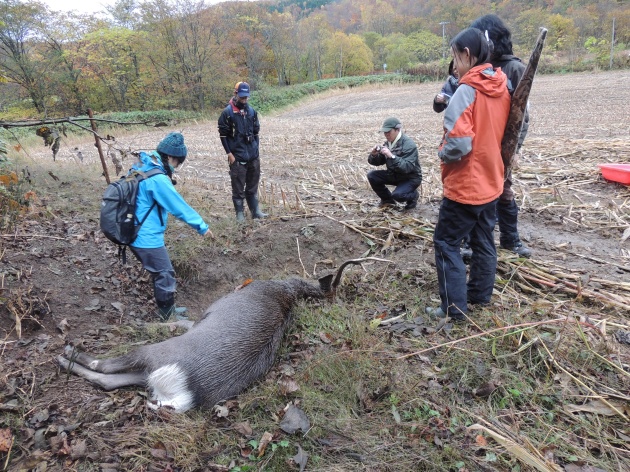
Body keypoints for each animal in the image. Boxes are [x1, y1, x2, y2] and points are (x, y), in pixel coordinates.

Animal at [56, 256, 390, 412]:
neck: (284, 292)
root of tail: (184, 392)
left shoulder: (206, 313)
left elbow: (179, 322)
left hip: (155, 354)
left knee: (105, 366)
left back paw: (67, 354)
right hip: (147, 374)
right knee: (108, 382)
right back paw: (64, 361)